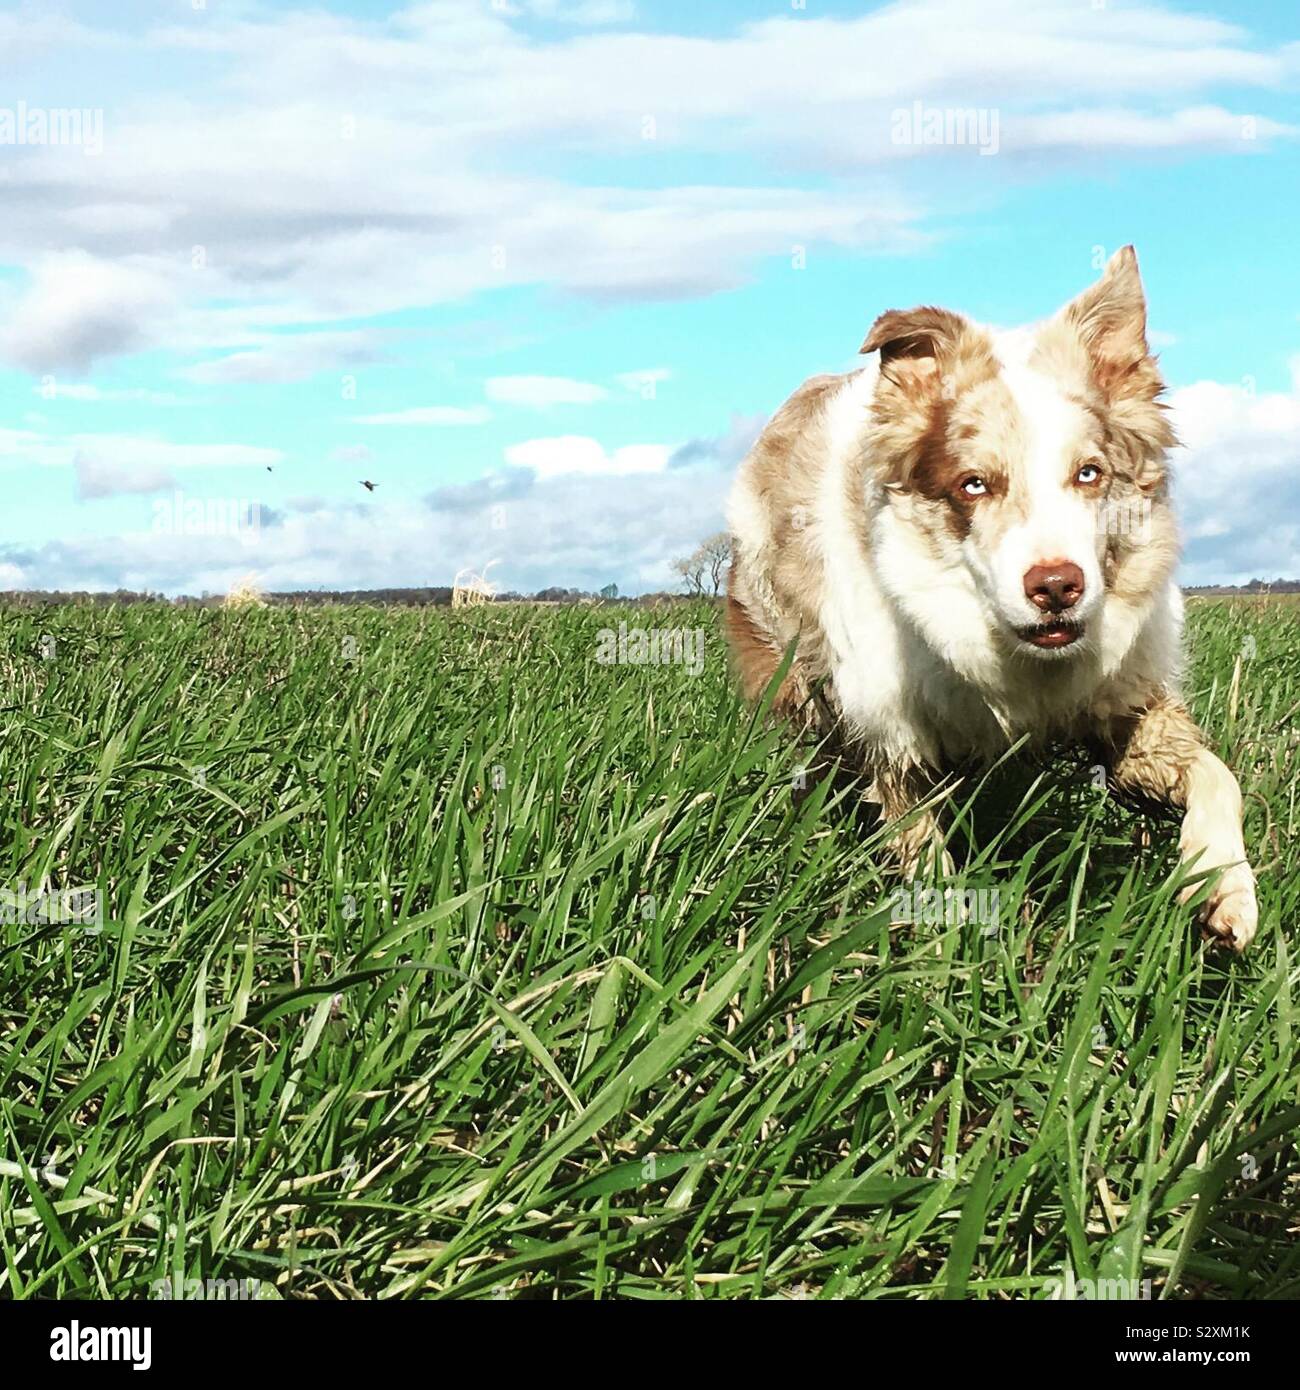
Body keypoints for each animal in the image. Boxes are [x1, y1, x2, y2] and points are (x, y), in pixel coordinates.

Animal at [728, 244, 1256, 950]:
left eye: (1089, 473)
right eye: (973, 484)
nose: (1056, 585)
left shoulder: (1125, 703)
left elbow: (1215, 774)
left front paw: (1224, 884)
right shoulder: (894, 740)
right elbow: (923, 852)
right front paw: (949, 943)